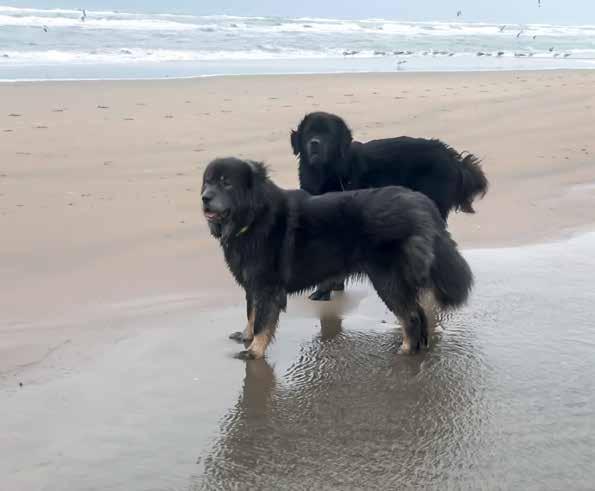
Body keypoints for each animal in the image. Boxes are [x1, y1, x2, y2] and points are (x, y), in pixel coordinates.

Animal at [203, 158, 472, 362]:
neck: (253, 218)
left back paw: (405, 350)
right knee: (419, 314)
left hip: (387, 280)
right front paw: (246, 337)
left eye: (226, 183)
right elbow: (251, 313)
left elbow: (262, 322)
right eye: (207, 181)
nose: (205, 197)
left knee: (412, 316)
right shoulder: (252, 285)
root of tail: (422, 204)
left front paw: (254, 350)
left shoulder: (268, 287)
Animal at [292, 112, 492, 300]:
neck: (330, 172)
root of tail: (450, 155)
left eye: (328, 133)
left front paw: (324, 290)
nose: (314, 143)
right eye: (309, 132)